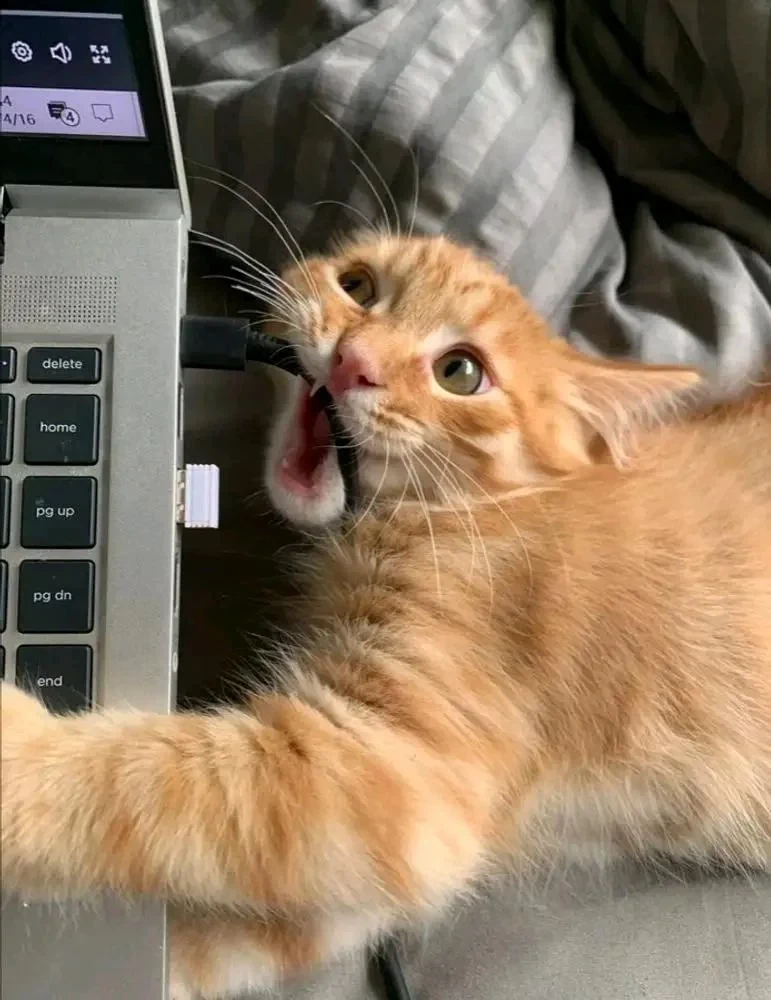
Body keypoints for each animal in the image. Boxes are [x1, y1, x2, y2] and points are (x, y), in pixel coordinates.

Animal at [1, 236, 771, 1000]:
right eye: (359, 287)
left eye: (460, 372)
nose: (353, 360)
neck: (479, 509)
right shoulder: (386, 856)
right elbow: (235, 934)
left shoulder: (400, 772)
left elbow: (152, 776)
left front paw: (16, 751)